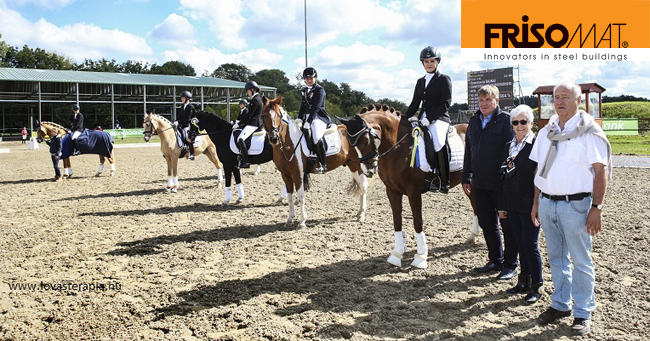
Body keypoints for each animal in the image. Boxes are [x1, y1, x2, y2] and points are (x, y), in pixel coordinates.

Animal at [260, 95, 370, 228]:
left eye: (278, 115)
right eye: (264, 115)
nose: (274, 138)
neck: (288, 142)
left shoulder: (298, 174)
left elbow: (300, 196)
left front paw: (302, 222)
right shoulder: (285, 175)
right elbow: (290, 197)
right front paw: (289, 219)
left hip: (359, 165)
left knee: (363, 186)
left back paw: (362, 215)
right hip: (352, 165)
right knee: (361, 185)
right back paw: (359, 213)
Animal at [336, 103, 478, 268]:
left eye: (366, 139)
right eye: (351, 144)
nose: (368, 170)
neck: (399, 148)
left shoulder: (413, 191)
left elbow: (418, 222)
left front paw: (421, 257)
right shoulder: (392, 191)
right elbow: (397, 220)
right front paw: (396, 254)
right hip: (468, 183)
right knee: (475, 205)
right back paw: (472, 236)